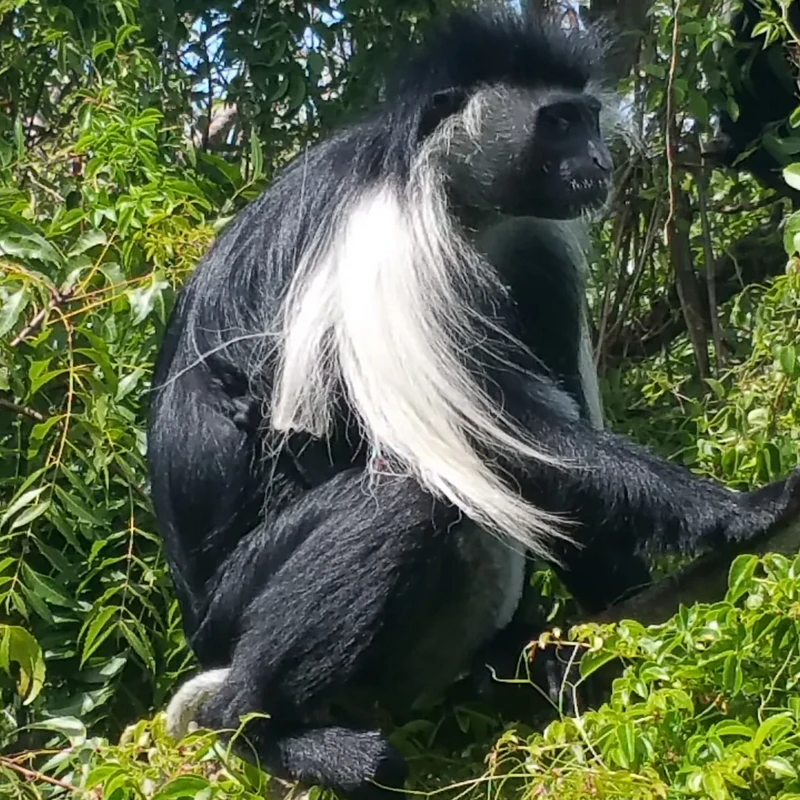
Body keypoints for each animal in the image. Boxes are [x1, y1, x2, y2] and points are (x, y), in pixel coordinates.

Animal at [147, 6, 800, 800]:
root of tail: (193, 611)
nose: (598, 159)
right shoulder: (391, 246)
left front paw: (609, 647)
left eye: (586, 118)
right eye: (557, 123)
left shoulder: (535, 247)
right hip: (233, 602)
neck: (464, 203)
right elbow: (500, 436)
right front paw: (744, 510)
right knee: (405, 498)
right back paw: (272, 732)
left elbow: (559, 466)